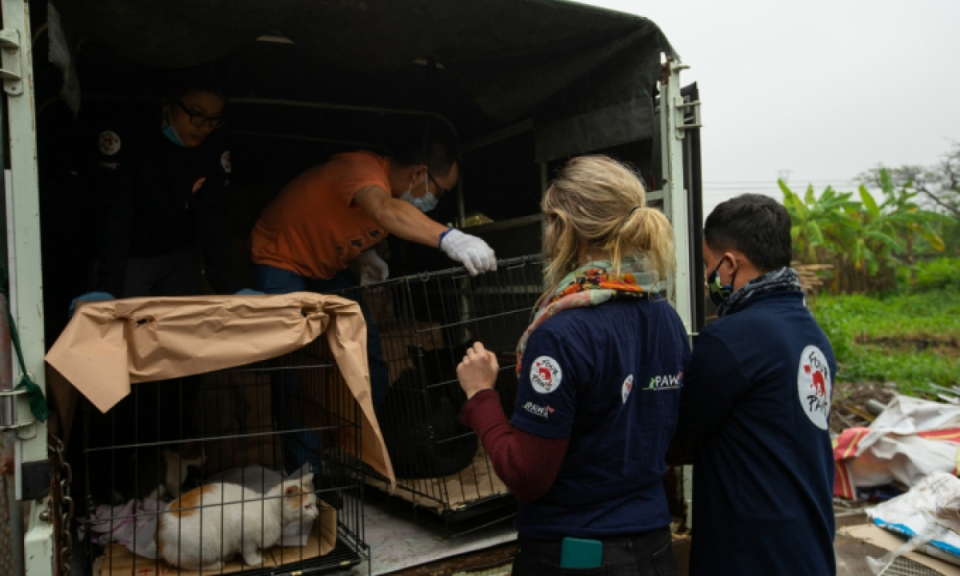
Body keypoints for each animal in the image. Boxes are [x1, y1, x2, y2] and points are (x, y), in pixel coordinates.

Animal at [158, 470, 318, 568]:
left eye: (315, 504)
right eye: (307, 506)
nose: (317, 514)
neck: (270, 509)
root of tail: (158, 532)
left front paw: (232, 554)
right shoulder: (240, 524)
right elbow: (248, 549)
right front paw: (254, 560)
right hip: (204, 544)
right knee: (184, 564)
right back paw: (214, 564)